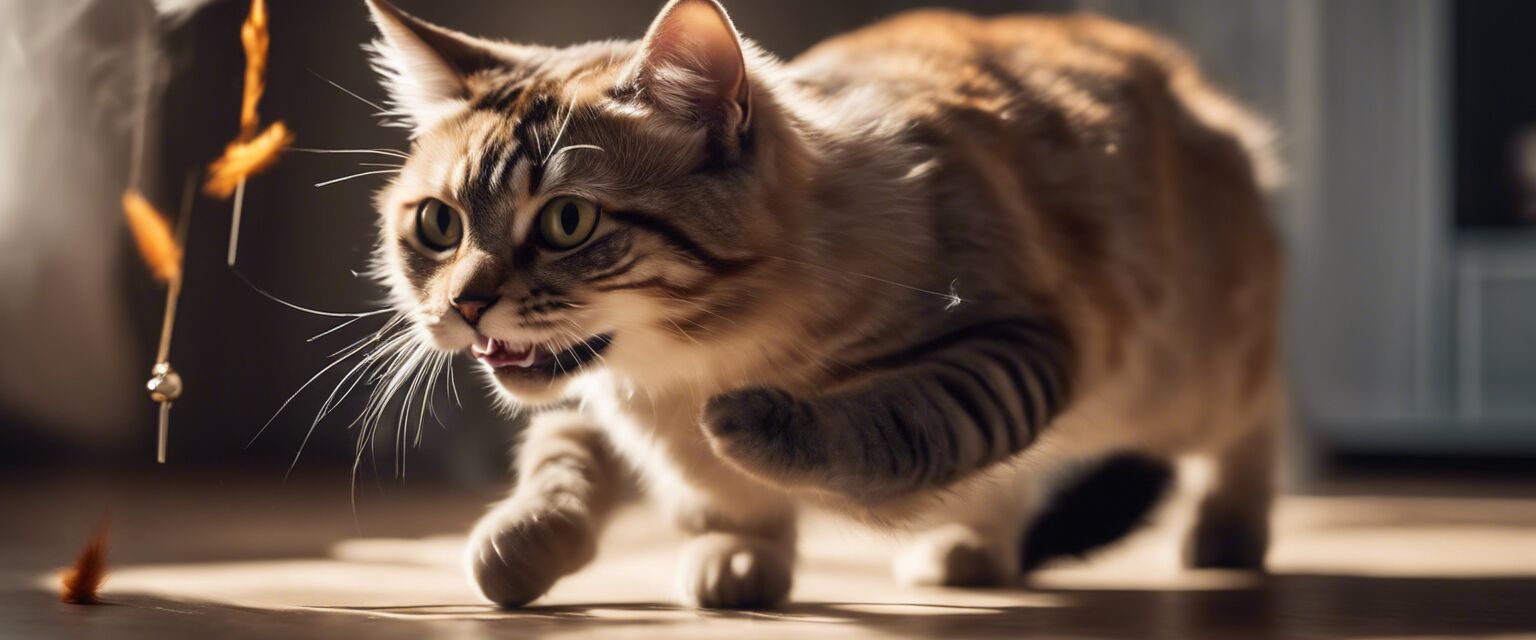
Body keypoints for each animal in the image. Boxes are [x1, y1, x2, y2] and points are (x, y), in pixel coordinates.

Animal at [362, 0, 1284, 604]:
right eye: (439, 225)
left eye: (566, 221)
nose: (464, 306)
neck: (681, 368)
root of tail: (1164, 63)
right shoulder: (603, 400)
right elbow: (565, 465)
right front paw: (533, 545)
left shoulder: (1013, 341)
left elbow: (890, 426)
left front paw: (753, 430)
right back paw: (967, 550)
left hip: (1176, 383)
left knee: (1253, 418)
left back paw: (1228, 534)